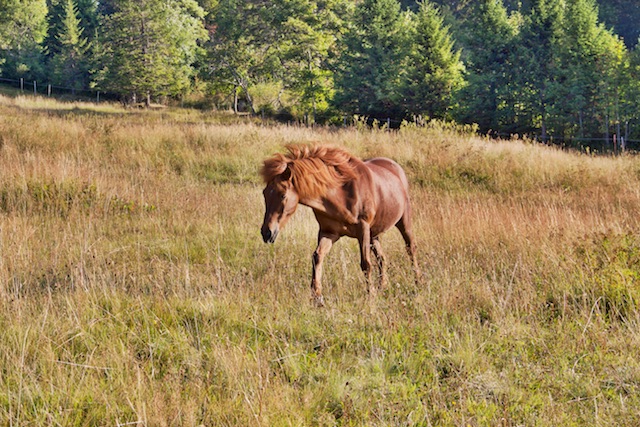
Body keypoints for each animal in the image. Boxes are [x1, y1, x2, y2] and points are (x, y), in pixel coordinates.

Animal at [260, 145, 420, 306]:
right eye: (264, 193)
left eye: (283, 195)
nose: (266, 232)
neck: (341, 195)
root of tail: (396, 168)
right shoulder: (329, 232)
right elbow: (317, 257)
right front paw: (317, 297)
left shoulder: (362, 229)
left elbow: (366, 264)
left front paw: (371, 295)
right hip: (374, 234)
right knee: (382, 258)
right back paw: (383, 287)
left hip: (403, 222)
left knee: (410, 249)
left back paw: (418, 282)